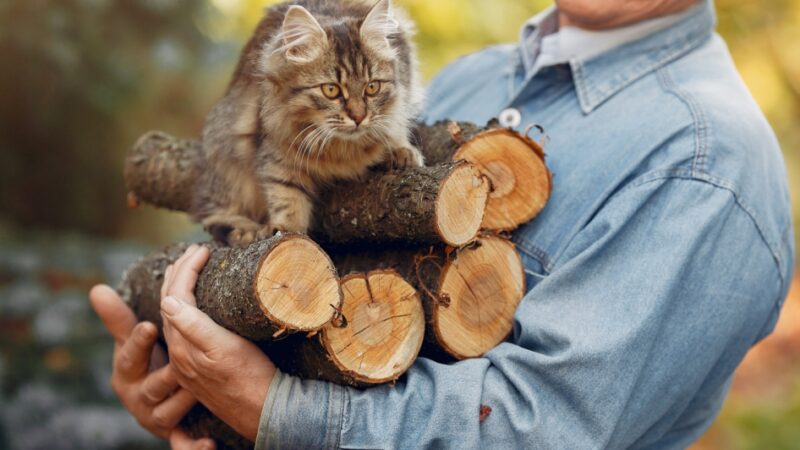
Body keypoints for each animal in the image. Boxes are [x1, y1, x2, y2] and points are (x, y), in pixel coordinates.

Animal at [193, 0, 424, 246]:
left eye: (372, 87)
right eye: (331, 90)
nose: (359, 117)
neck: (341, 149)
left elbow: (394, 126)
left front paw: (400, 151)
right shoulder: (277, 153)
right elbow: (287, 199)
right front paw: (286, 233)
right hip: (224, 149)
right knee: (217, 215)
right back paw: (243, 232)